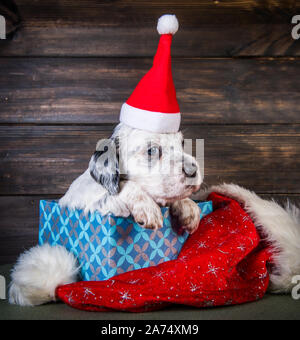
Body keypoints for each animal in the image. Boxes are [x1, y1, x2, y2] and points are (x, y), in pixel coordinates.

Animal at [59, 122, 203, 234]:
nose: (193, 170)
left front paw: (188, 205)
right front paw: (147, 207)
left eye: (182, 143)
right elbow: (125, 185)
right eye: (152, 150)